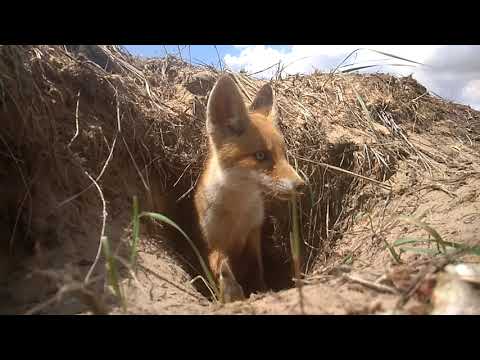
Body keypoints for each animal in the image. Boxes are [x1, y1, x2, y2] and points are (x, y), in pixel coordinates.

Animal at [194, 74, 304, 302]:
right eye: (261, 155)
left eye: (284, 154)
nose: (301, 185)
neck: (238, 212)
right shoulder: (213, 243)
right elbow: (222, 266)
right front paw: (230, 292)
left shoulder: (253, 233)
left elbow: (256, 269)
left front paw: (260, 290)